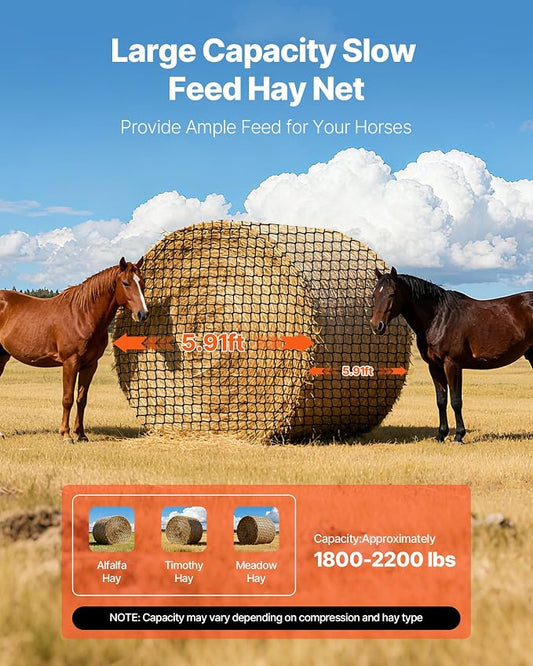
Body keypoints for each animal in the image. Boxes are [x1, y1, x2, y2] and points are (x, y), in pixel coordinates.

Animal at [0, 257, 148, 442]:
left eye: (142, 282)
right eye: (126, 283)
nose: (143, 314)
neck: (82, 315)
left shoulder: (90, 365)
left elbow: (81, 399)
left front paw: (81, 434)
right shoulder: (70, 362)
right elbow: (68, 398)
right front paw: (66, 434)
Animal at [370, 267, 533, 443]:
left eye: (392, 294)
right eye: (374, 294)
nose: (376, 326)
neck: (438, 318)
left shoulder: (452, 364)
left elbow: (456, 401)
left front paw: (458, 436)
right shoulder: (434, 367)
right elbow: (441, 401)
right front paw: (441, 434)